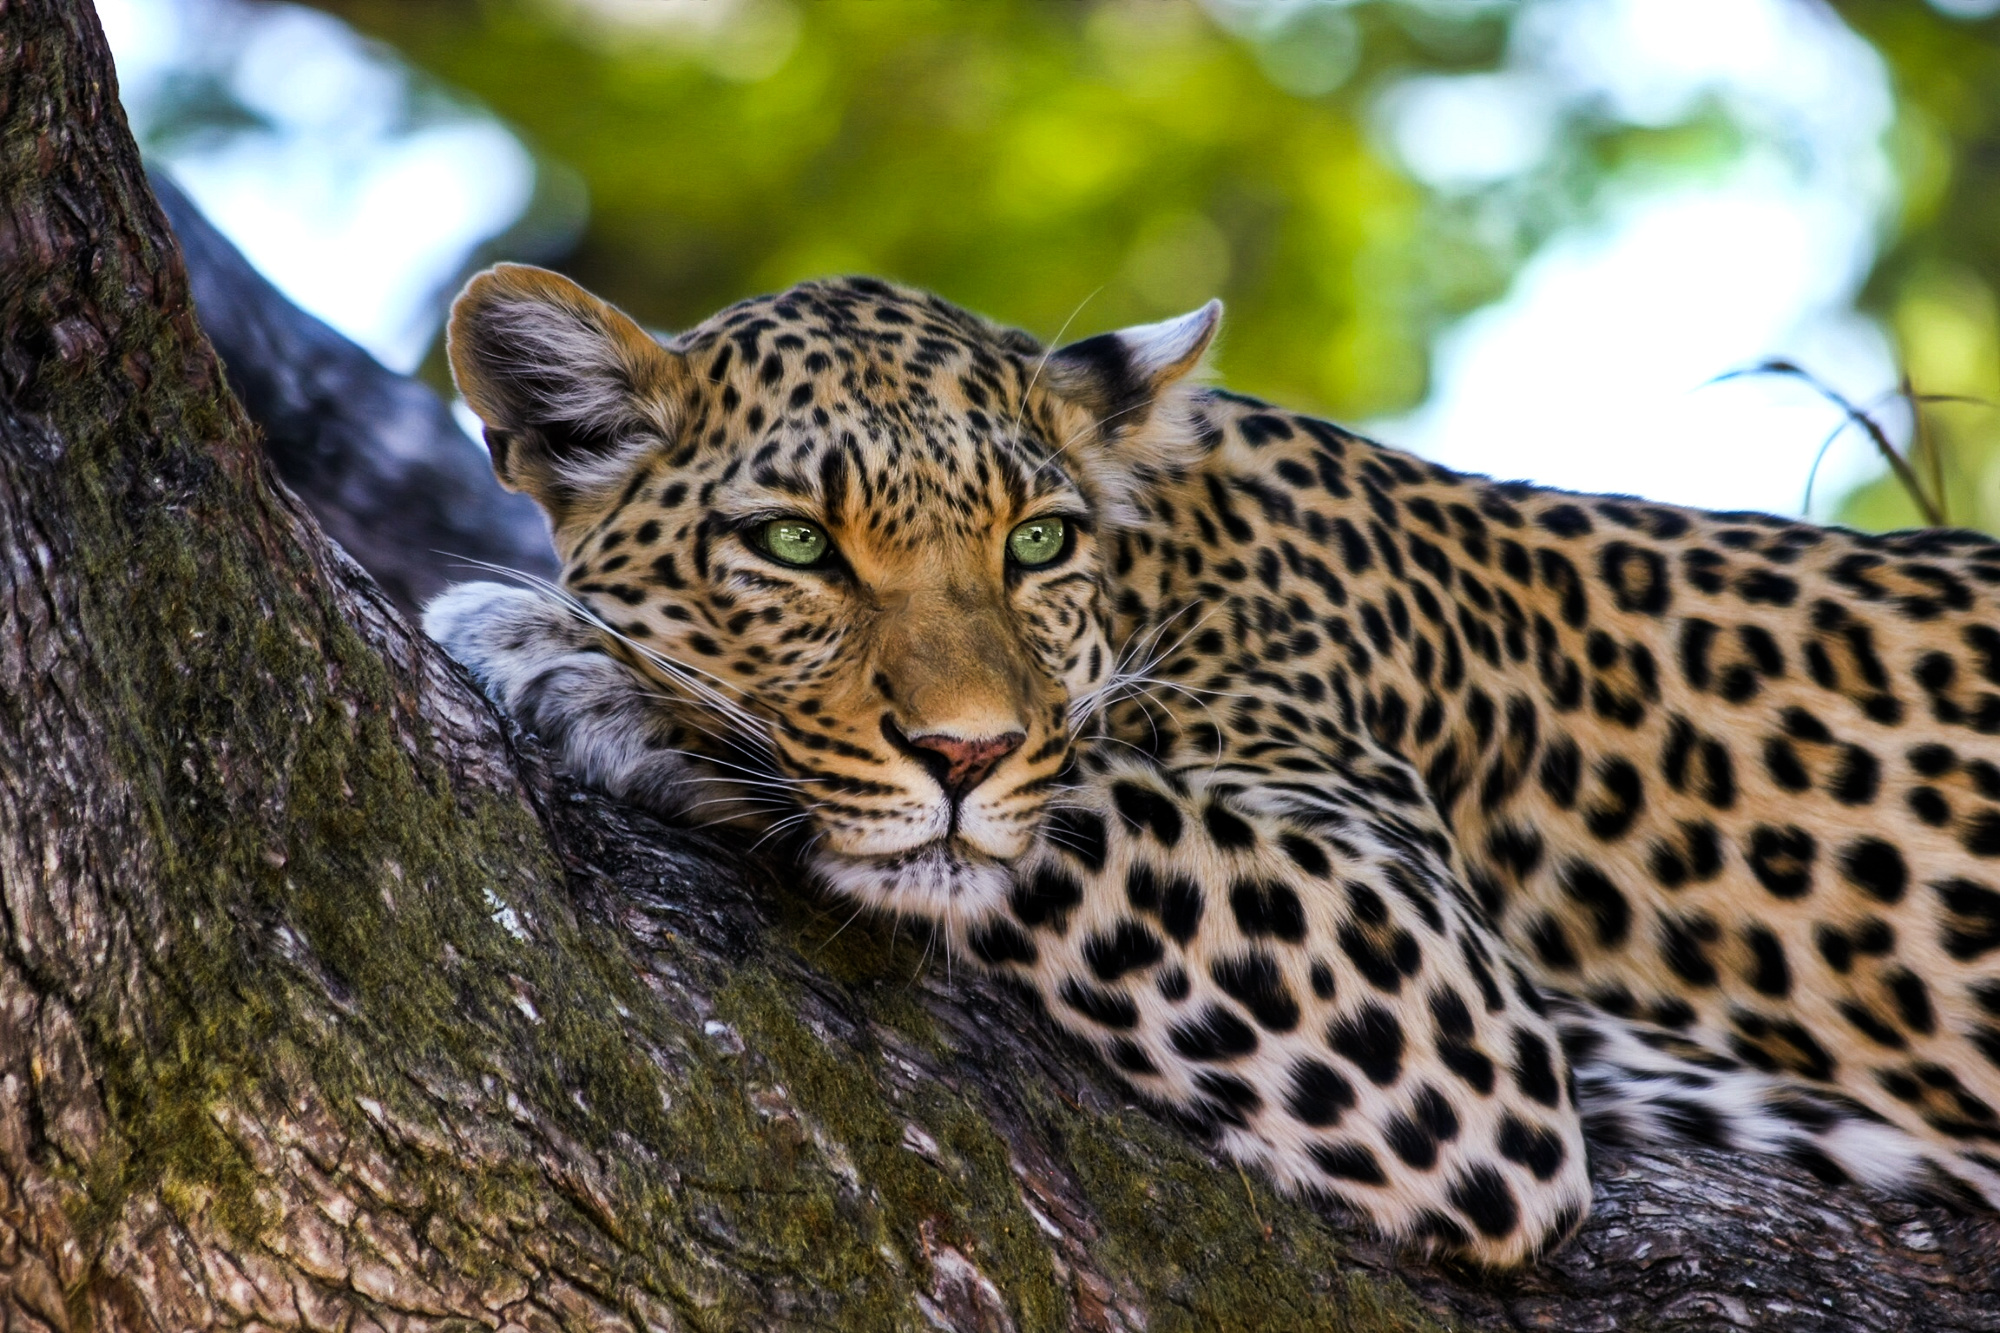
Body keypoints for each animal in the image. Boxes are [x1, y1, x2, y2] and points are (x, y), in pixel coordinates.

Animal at [423, 261, 2000, 1267]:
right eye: (796, 543)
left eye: (1035, 542)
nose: (963, 748)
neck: (1165, 560)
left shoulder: (1438, 996)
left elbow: (1072, 807)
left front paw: (579, 658)